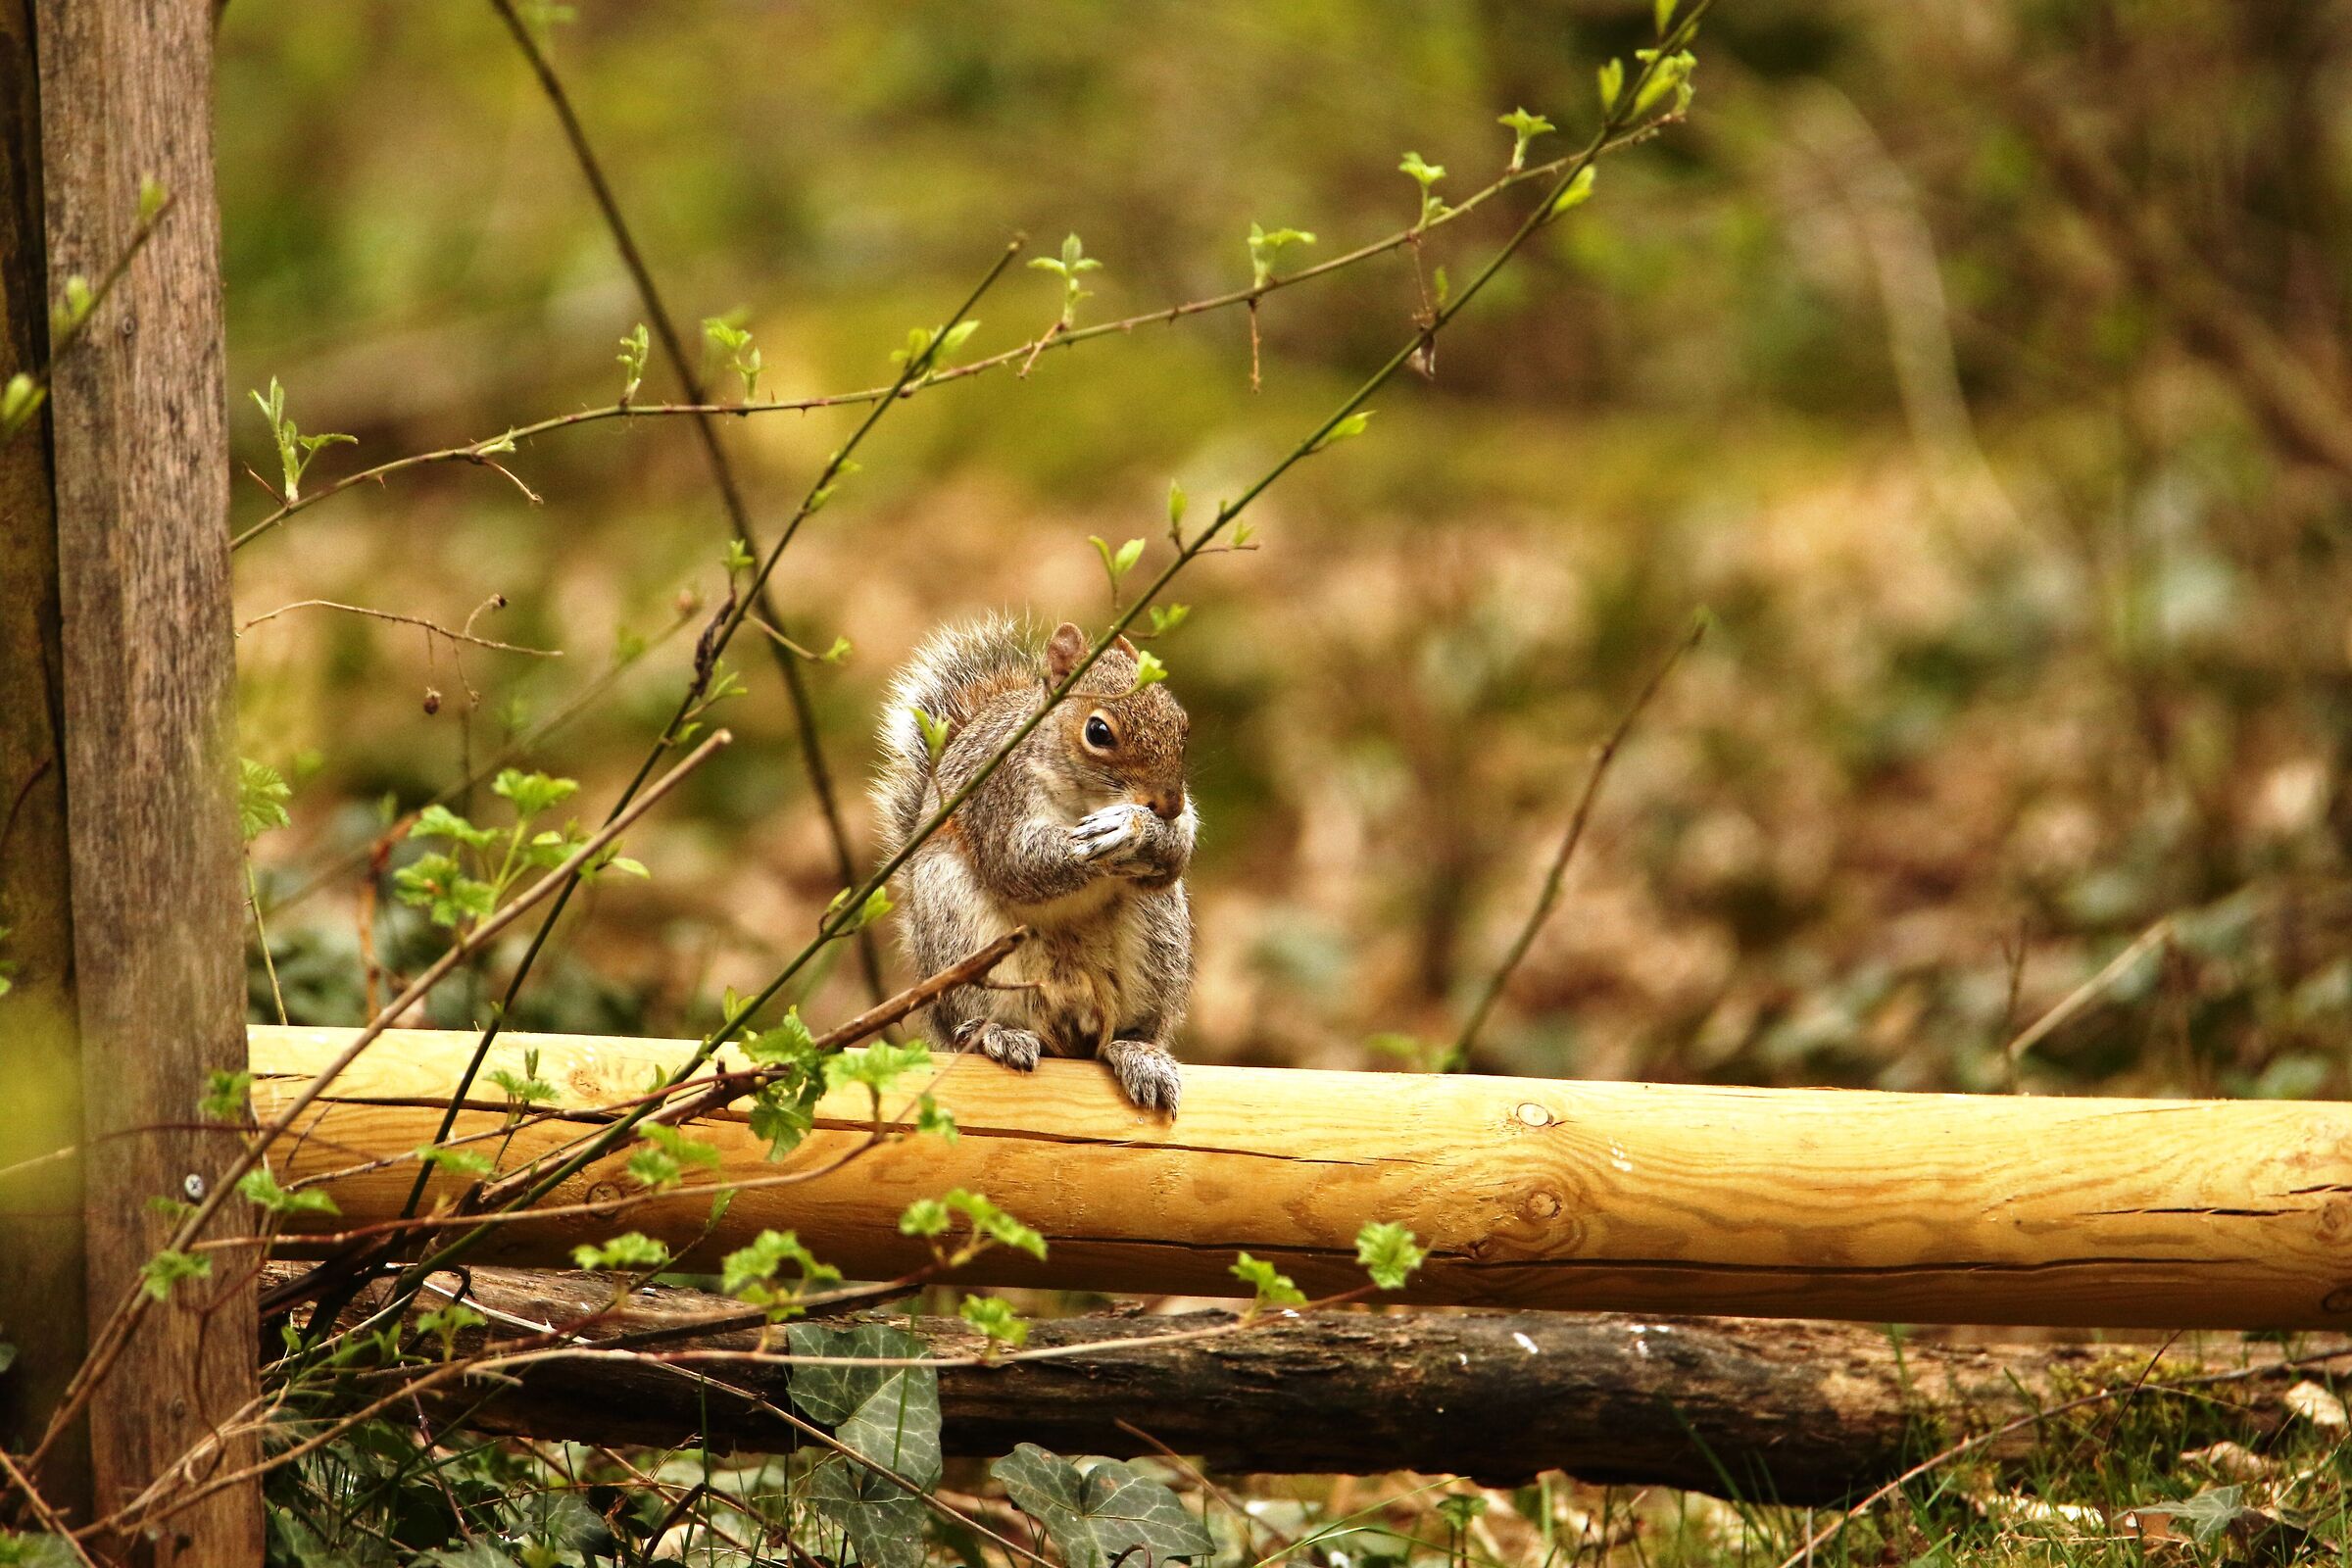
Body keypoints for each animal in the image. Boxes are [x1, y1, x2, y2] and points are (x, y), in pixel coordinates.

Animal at [874, 616, 1195, 1115]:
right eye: (1098, 732)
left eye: (1183, 726)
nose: (1170, 804)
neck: (1085, 799)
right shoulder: (998, 797)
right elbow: (1017, 864)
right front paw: (1114, 832)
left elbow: (1175, 855)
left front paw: (1140, 829)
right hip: (958, 929)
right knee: (976, 1020)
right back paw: (998, 1036)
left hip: (1158, 939)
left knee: (1122, 1036)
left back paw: (1140, 1054)